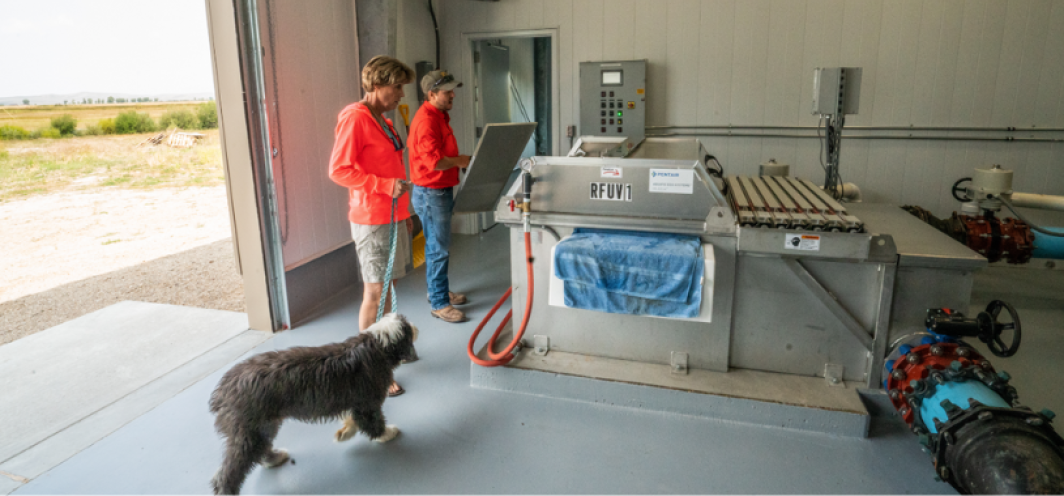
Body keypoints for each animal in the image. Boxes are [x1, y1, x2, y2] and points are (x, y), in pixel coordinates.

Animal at [207, 312, 419, 493]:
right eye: (408, 327)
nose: (416, 327)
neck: (378, 344)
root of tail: (223, 389)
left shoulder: (355, 402)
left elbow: (352, 419)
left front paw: (344, 433)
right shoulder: (367, 403)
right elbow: (372, 422)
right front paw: (385, 434)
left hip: (264, 426)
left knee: (260, 450)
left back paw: (274, 458)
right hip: (248, 432)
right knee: (229, 470)